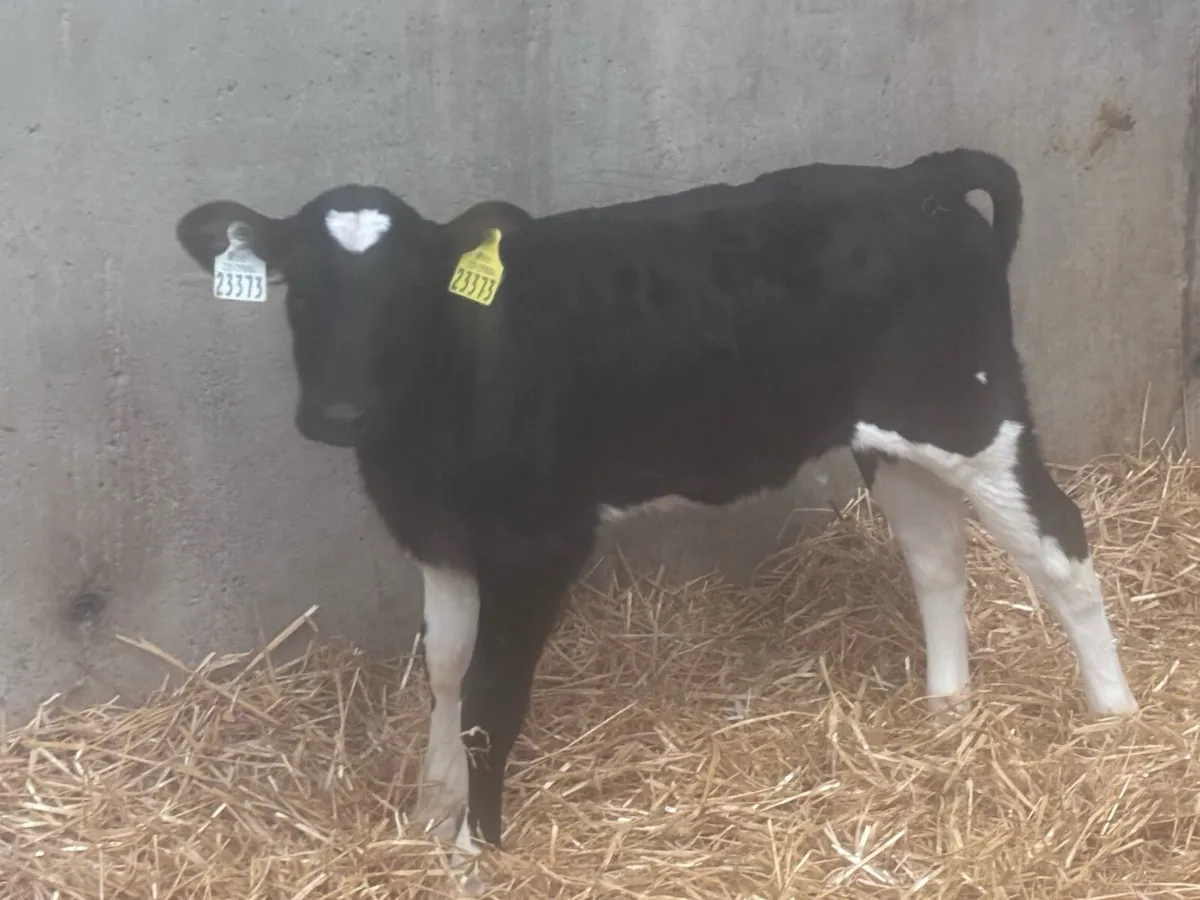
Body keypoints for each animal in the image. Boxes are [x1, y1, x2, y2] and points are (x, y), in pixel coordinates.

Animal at [174, 147, 1139, 854]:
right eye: (299, 286)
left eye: (409, 291)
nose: (339, 413)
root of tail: (918, 180)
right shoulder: (442, 538)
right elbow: (445, 675)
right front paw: (429, 812)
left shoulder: (538, 542)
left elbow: (489, 695)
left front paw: (476, 851)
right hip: (890, 437)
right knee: (936, 557)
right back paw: (946, 711)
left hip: (973, 411)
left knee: (1061, 544)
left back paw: (1116, 720)